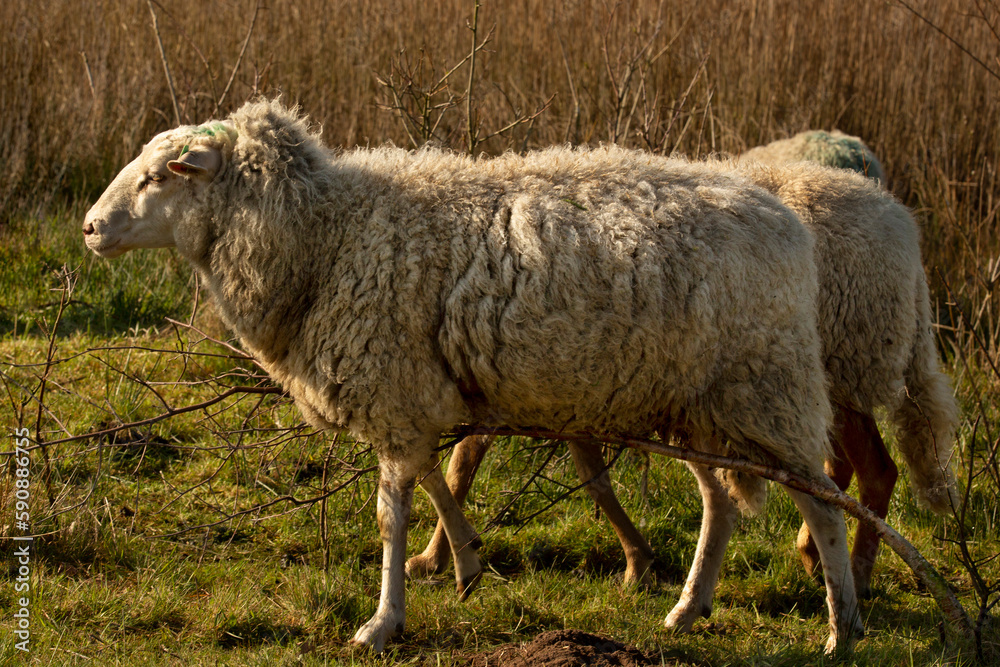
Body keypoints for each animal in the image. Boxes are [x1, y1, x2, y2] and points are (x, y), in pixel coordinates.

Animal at [83, 98, 861, 653]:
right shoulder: (409, 391)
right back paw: (687, 609)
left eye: (160, 175)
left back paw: (842, 626)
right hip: (694, 400)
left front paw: (382, 622)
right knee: (720, 500)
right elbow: (433, 474)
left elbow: (391, 512)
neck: (323, 237)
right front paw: (466, 560)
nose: (89, 227)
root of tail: (785, 219)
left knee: (823, 505)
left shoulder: (390, 381)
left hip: (766, 387)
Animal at [412, 157, 957, 608]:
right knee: (844, 465)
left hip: (834, 361)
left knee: (876, 469)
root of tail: (901, 222)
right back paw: (814, 554)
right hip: (820, 375)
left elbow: (464, 460)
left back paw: (856, 577)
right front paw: (638, 559)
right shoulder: (575, 383)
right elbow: (591, 474)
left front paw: (436, 556)